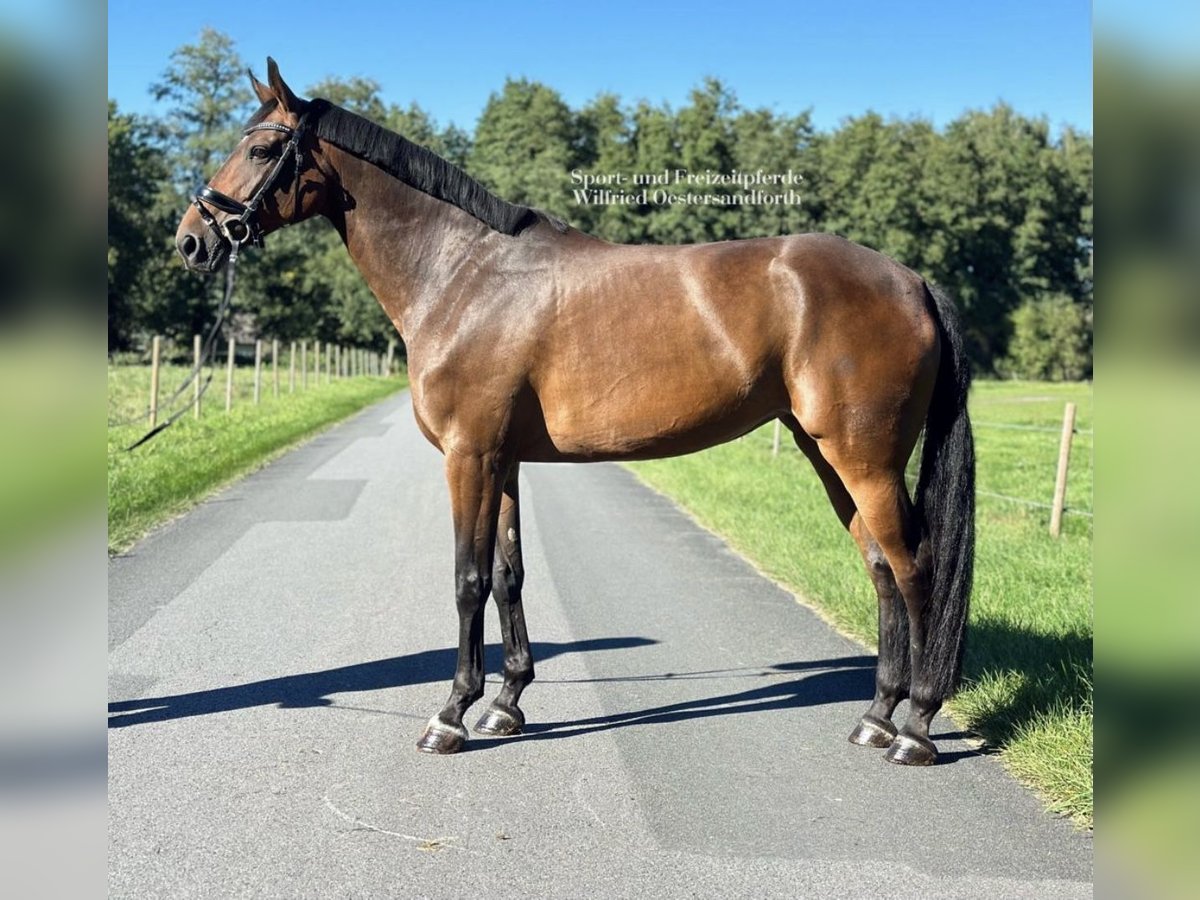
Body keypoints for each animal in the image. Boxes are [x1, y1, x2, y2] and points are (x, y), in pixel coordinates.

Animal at [171, 60, 974, 768]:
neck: (464, 275)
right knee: (880, 566)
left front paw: (450, 715)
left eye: (262, 148)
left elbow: (466, 578)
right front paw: (506, 704)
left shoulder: (468, 455)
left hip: (863, 458)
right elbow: (508, 574)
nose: (192, 239)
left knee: (916, 569)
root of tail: (910, 279)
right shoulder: (503, 460)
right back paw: (876, 716)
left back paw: (917, 727)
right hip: (830, 455)